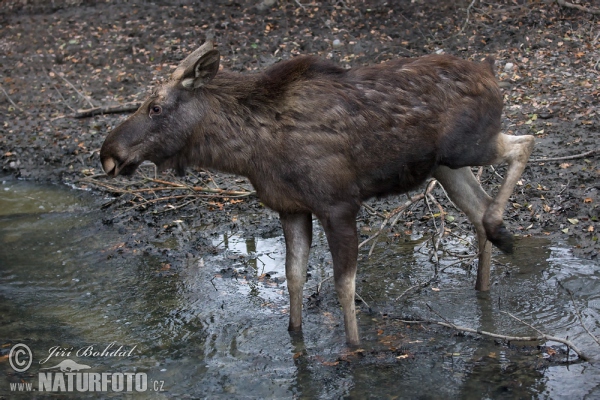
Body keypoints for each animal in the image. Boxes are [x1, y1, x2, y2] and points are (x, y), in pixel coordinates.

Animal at [102, 42, 536, 346]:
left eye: (155, 107)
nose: (108, 153)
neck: (248, 153)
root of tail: (489, 69)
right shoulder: (291, 208)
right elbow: (295, 277)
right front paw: (294, 335)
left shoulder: (338, 205)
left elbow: (345, 286)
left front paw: (355, 348)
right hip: (445, 166)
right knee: (478, 209)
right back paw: (483, 282)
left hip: (468, 146)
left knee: (524, 143)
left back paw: (502, 232)